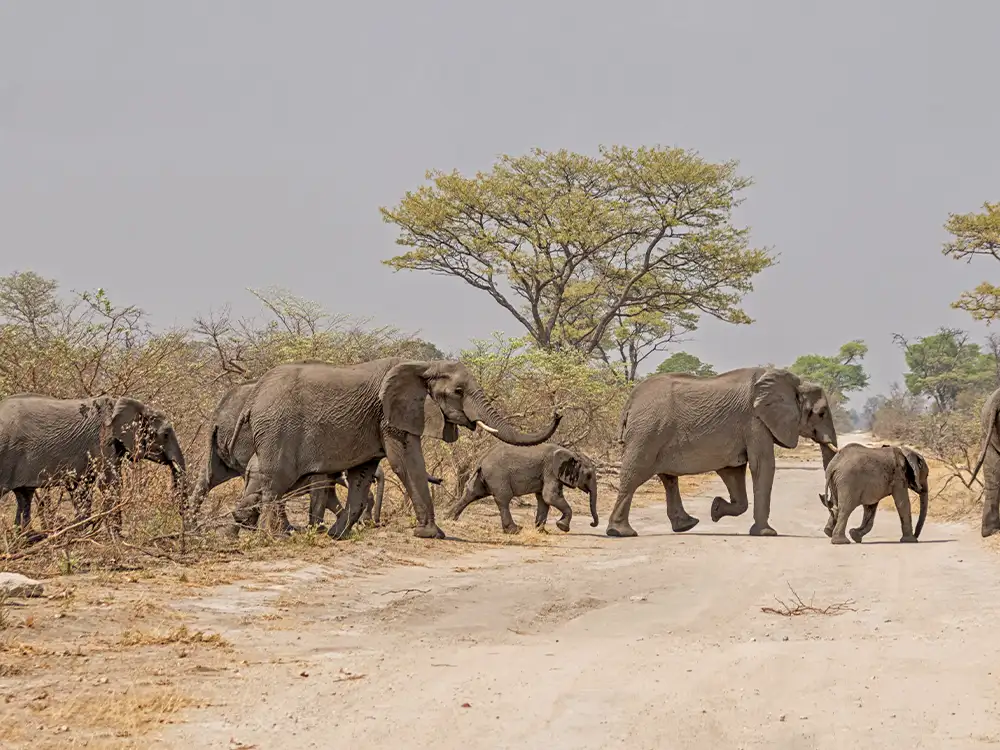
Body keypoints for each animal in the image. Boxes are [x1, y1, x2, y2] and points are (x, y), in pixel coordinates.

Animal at [0, 393, 186, 533]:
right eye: (166, 434)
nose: (181, 515)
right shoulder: (102, 439)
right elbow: (110, 483)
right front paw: (115, 537)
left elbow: (83, 487)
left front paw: (77, 531)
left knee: (24, 495)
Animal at [226, 357, 561, 540]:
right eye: (458, 391)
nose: (558, 411)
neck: (423, 365)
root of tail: (253, 397)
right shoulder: (390, 415)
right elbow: (406, 462)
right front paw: (431, 534)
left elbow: (362, 475)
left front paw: (339, 535)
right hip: (277, 430)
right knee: (275, 483)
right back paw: (274, 536)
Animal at [448, 443, 599, 534]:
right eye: (589, 475)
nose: (592, 524)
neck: (571, 452)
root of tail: (481, 459)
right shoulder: (550, 471)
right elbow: (550, 497)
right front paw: (562, 527)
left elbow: (543, 499)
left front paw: (542, 532)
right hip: (497, 476)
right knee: (504, 499)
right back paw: (515, 530)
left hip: (483, 477)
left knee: (472, 494)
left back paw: (449, 518)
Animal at [607, 367, 838, 538]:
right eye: (821, 413)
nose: (828, 531)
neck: (793, 383)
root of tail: (630, 400)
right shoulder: (755, 421)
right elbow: (762, 465)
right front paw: (767, 533)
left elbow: (733, 472)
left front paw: (716, 509)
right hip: (647, 432)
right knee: (634, 474)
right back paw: (620, 532)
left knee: (668, 478)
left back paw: (686, 525)